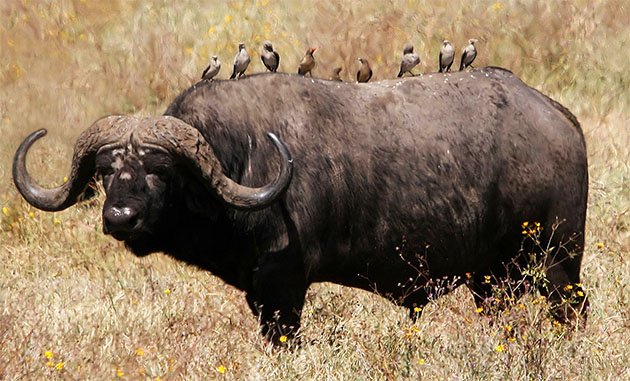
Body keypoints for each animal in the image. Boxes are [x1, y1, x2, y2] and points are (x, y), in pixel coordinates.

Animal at [12, 67, 592, 342]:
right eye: (107, 171)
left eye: (159, 170)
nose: (120, 218)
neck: (242, 158)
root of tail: (558, 117)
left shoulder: (283, 288)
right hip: (493, 280)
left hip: (558, 262)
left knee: (574, 311)